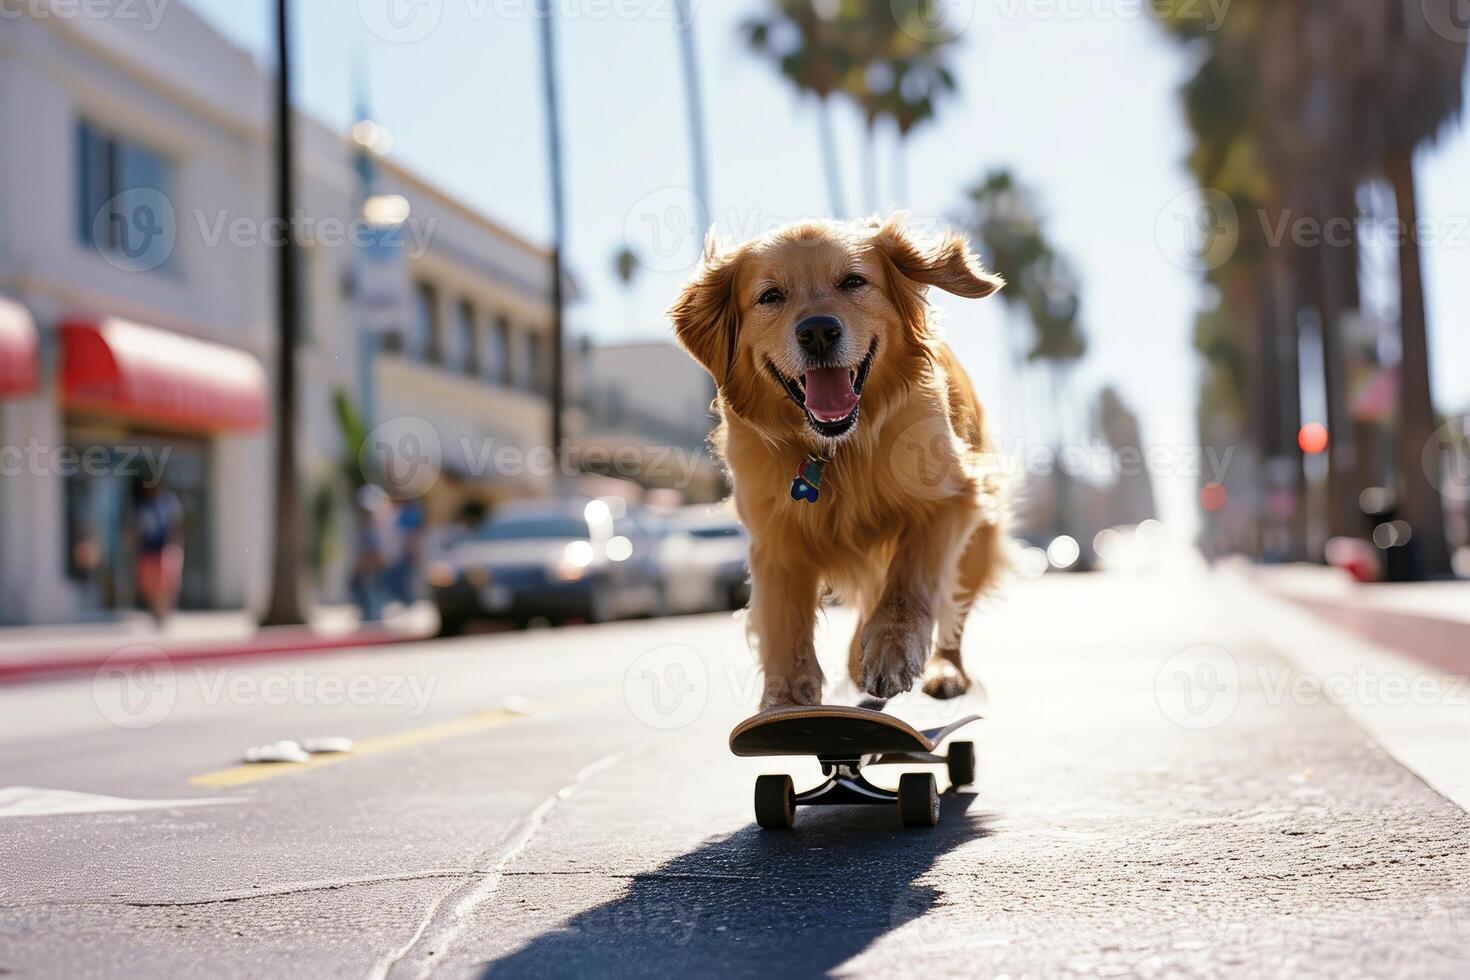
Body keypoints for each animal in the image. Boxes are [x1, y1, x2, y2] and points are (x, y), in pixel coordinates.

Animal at [673, 214, 1011, 708]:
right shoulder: (774, 539)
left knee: (951, 613)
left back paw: (944, 669)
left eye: (853, 281)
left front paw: (892, 649)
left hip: (979, 542)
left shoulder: (953, 498)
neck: (836, 449)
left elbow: (910, 580)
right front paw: (788, 701)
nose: (817, 331)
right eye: (770, 296)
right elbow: (785, 625)